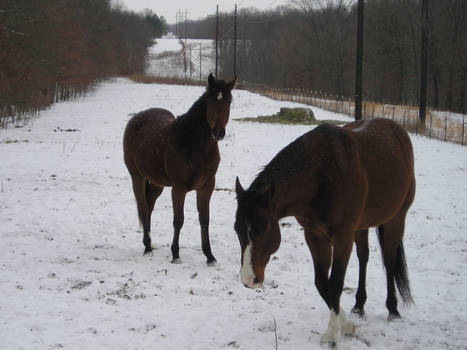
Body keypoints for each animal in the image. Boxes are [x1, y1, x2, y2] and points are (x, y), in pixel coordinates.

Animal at [123, 74, 238, 266]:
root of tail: (135, 119)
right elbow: (178, 220)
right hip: (137, 177)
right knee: (143, 206)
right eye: (210, 101)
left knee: (149, 205)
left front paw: (209, 256)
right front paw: (175, 254)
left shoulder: (207, 187)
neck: (193, 144)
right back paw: (147, 246)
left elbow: (204, 220)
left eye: (229, 101)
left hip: (157, 183)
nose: (218, 133)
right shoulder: (178, 188)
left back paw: (150, 243)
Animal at [234, 119, 416, 344]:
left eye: (264, 228)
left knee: (390, 261)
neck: (322, 174)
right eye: (237, 229)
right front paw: (346, 325)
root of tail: (398, 131)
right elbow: (322, 283)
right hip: (362, 227)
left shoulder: (342, 236)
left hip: (396, 219)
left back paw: (393, 309)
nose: (248, 280)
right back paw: (359, 305)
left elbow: (336, 282)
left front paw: (331, 333)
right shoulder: (314, 235)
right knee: (363, 257)